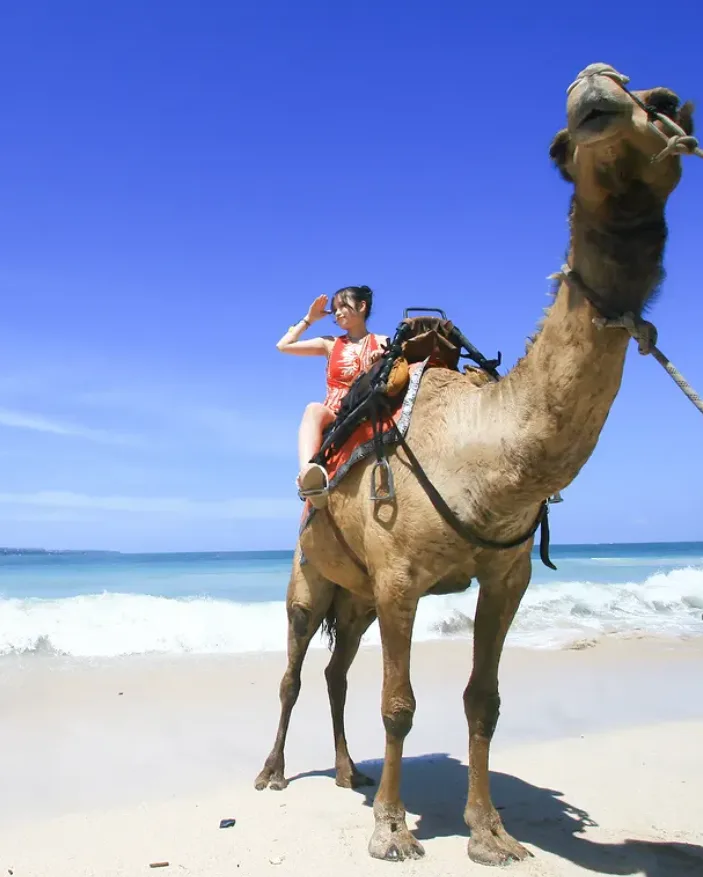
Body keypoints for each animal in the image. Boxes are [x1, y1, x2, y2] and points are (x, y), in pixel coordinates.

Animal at [255, 63, 697, 867]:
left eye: (664, 105)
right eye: (562, 143)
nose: (597, 90)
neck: (484, 454)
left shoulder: (505, 576)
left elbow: (482, 700)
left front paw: (491, 834)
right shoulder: (400, 577)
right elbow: (399, 705)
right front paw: (392, 831)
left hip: (356, 599)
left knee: (335, 671)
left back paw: (348, 772)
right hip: (309, 581)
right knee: (294, 670)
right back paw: (273, 772)